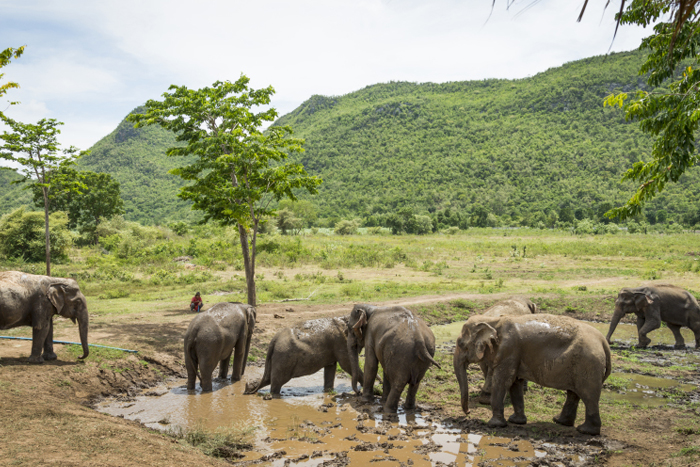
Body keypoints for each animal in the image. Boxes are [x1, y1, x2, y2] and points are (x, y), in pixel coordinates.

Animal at [452, 312, 608, 436]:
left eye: (461, 344)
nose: (468, 413)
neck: (493, 320)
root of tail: (603, 341)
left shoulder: (509, 351)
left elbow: (502, 382)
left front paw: (494, 425)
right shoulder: (514, 356)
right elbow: (515, 384)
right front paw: (516, 421)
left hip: (588, 364)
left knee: (588, 396)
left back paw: (585, 431)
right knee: (574, 394)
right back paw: (560, 421)